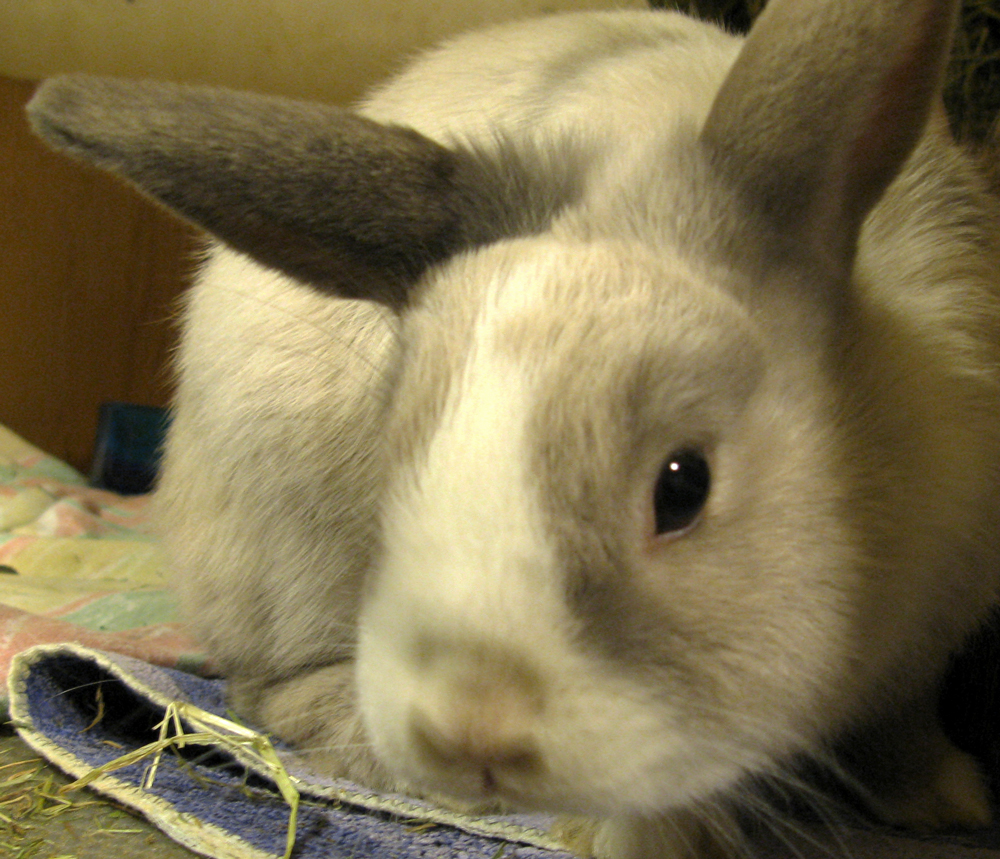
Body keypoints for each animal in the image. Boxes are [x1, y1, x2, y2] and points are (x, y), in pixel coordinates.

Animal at [26, 0, 1000, 855]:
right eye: (396, 464)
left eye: (683, 485)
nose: (471, 728)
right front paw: (643, 839)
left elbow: (903, 728)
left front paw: (950, 802)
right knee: (267, 693)